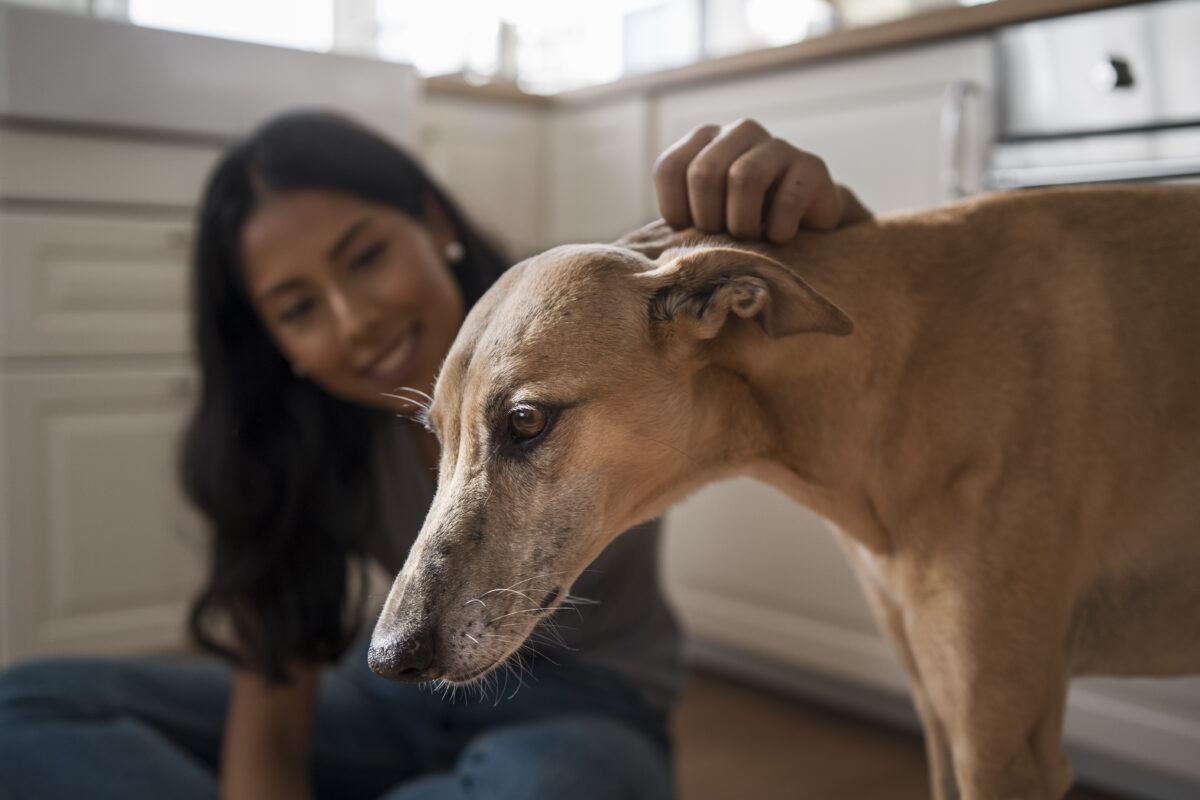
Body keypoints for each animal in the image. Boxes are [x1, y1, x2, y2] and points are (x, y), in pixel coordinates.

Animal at [367, 185, 1200, 800]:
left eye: (526, 420)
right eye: (436, 433)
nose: (389, 656)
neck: (898, 366)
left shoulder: (1004, 745)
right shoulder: (941, 713)